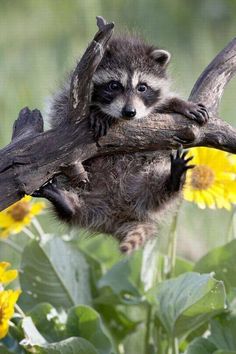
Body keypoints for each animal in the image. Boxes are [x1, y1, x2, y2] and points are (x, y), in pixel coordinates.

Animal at [35, 34, 208, 253]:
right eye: (114, 85)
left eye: (142, 87)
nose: (129, 112)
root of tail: (117, 215)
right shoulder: (68, 99)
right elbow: (61, 111)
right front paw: (97, 112)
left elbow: (165, 105)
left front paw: (180, 103)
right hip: (79, 186)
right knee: (70, 202)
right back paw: (66, 204)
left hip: (146, 184)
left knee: (161, 189)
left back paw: (173, 179)